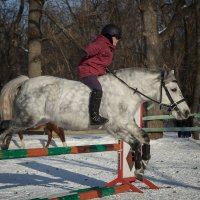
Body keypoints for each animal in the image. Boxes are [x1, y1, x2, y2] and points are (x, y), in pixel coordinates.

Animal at [0, 67, 190, 180]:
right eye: (174, 89)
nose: (186, 112)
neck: (126, 92)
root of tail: (25, 83)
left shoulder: (125, 124)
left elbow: (143, 137)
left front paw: (144, 164)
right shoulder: (114, 126)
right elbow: (136, 142)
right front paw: (138, 169)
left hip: (33, 120)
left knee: (8, 128)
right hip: (28, 119)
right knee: (6, 128)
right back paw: (4, 145)